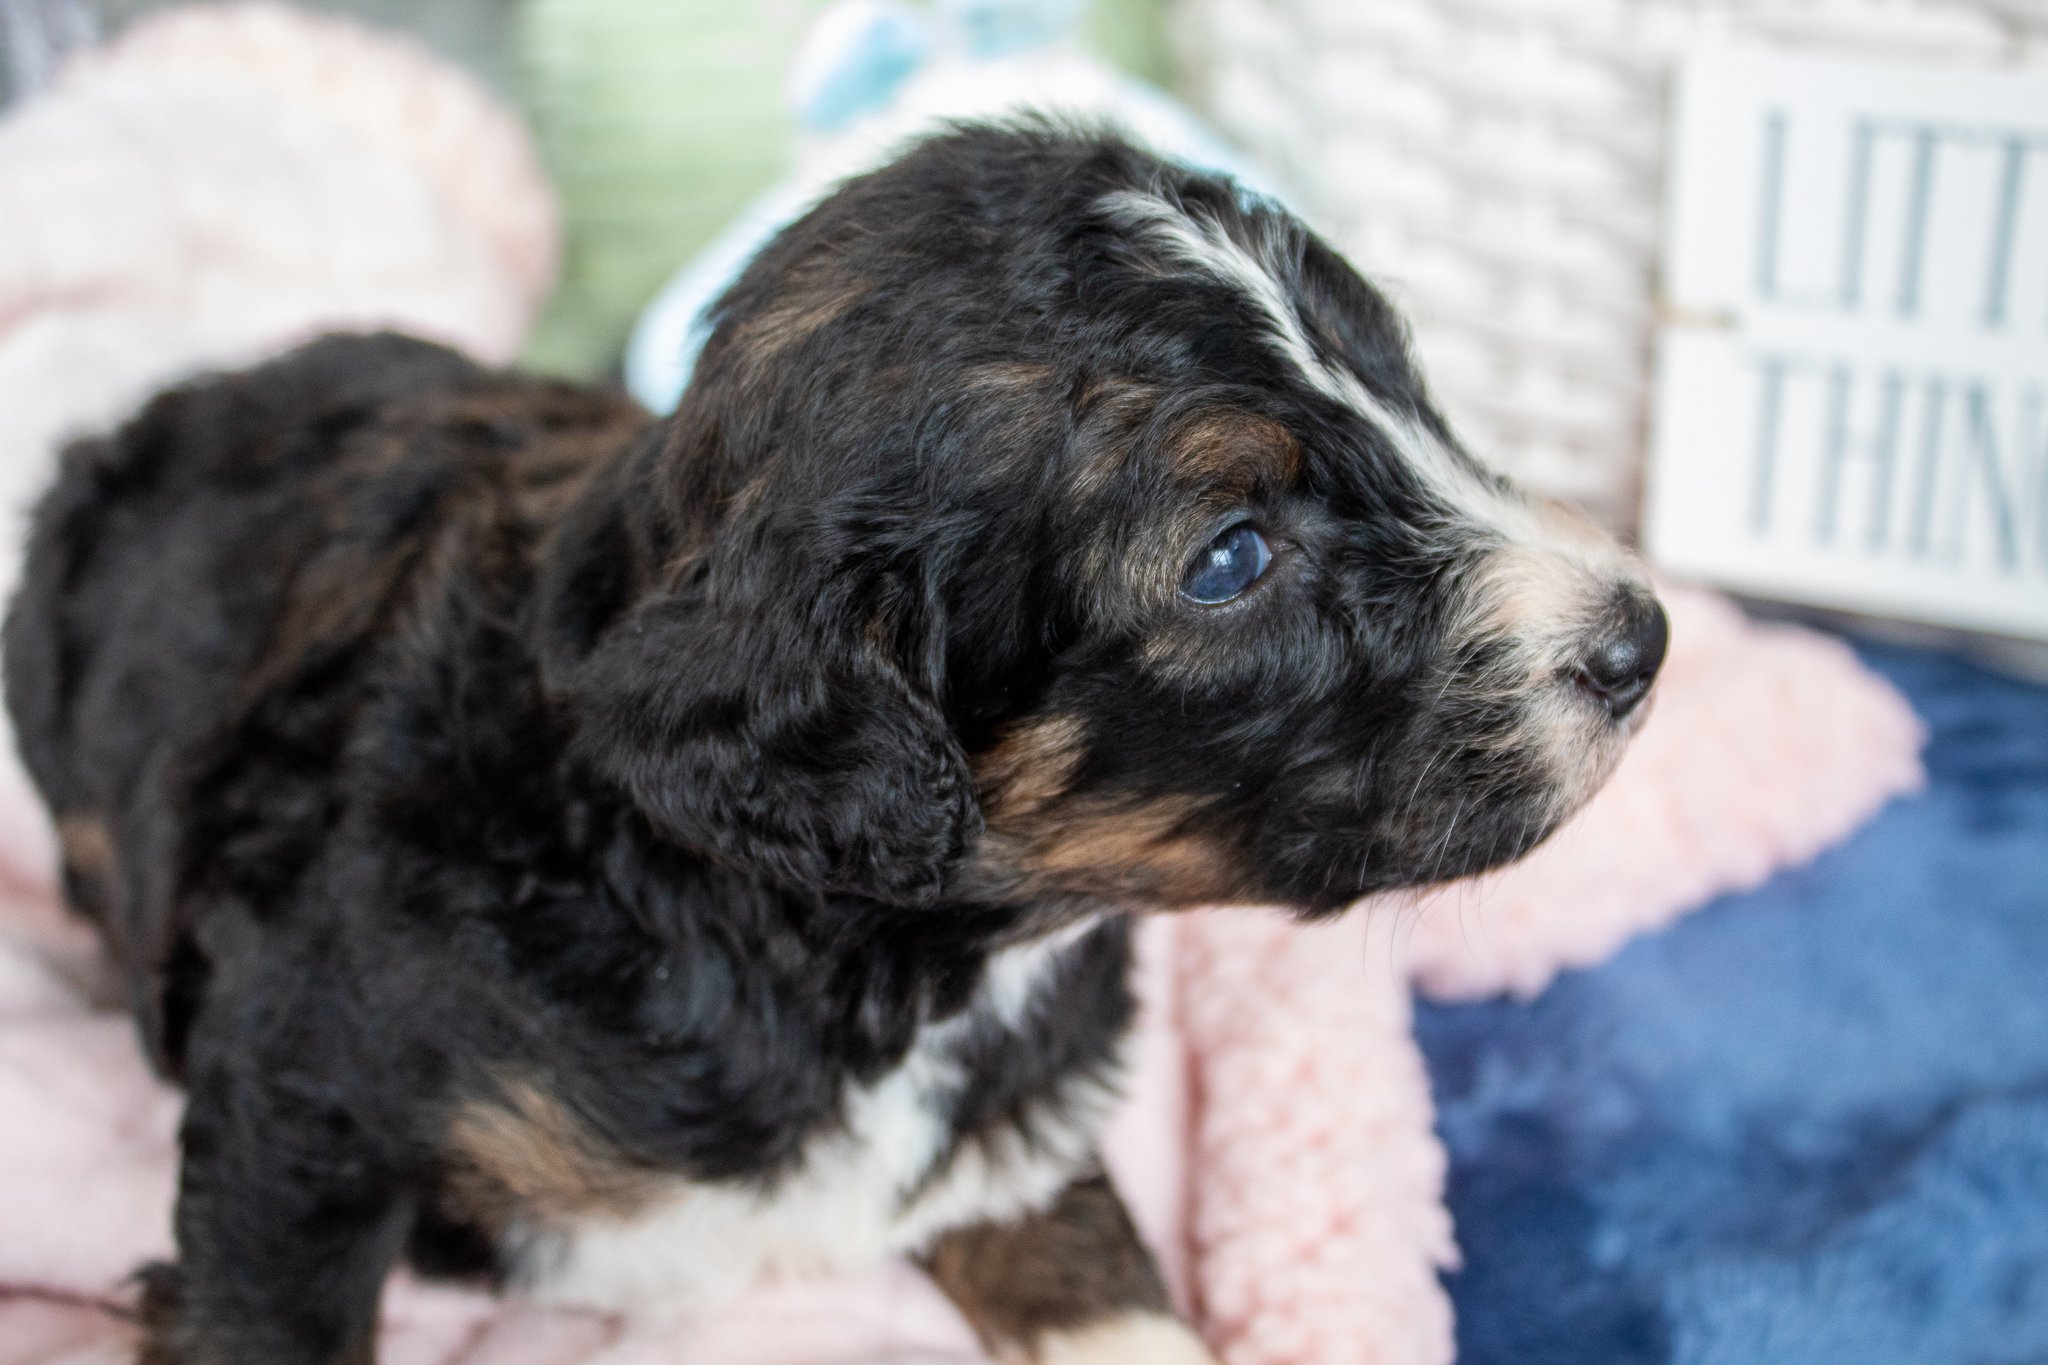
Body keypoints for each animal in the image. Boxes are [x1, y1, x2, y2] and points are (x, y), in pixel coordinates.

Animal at [4, 122, 1662, 1358]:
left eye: (1404, 382)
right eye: (1233, 556)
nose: (1643, 639)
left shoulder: (1010, 1124)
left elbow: (1096, 1277)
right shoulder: (305, 1087)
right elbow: (264, 1314)